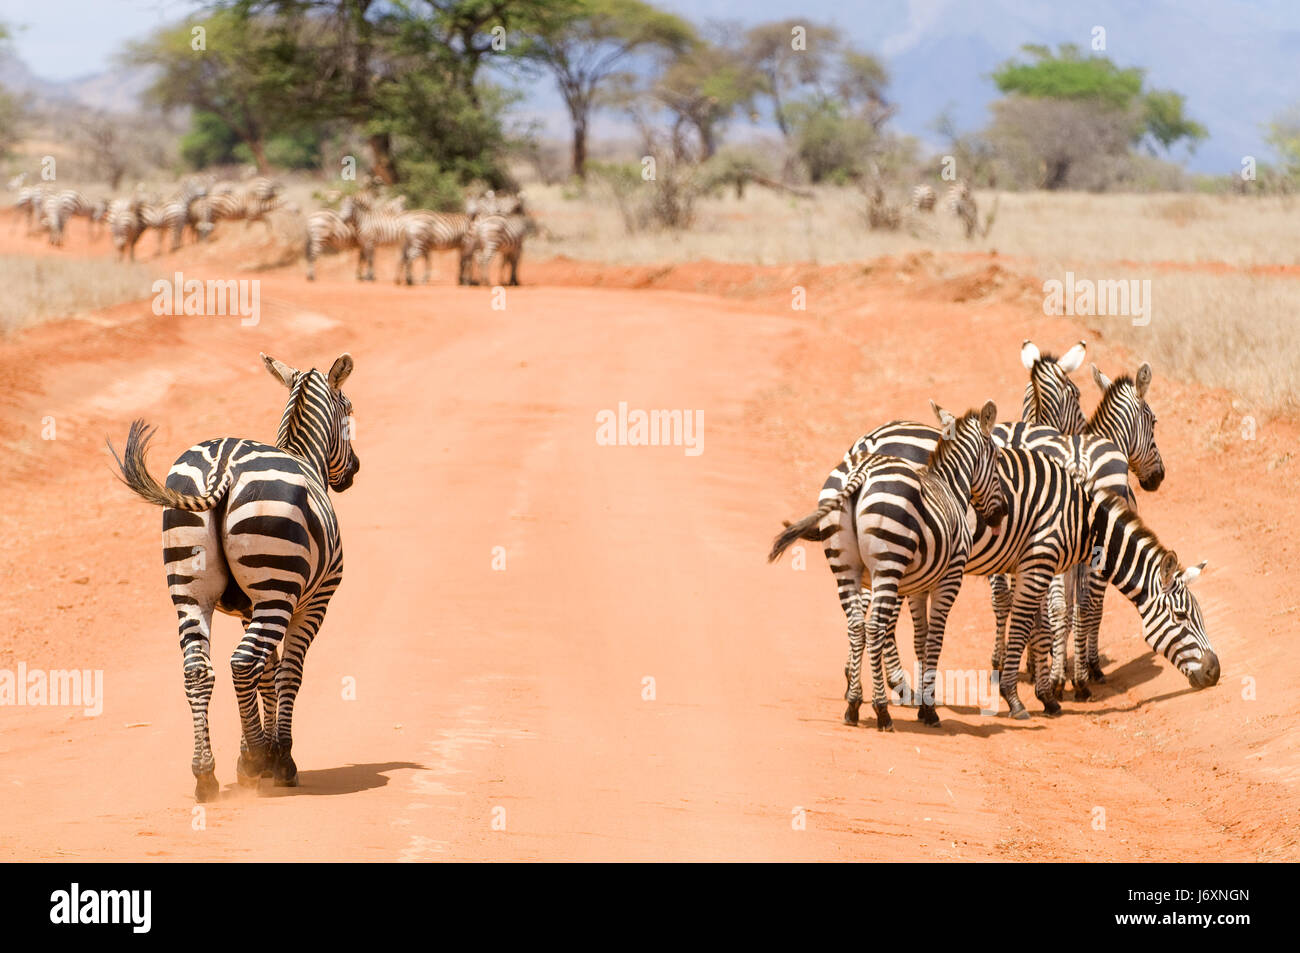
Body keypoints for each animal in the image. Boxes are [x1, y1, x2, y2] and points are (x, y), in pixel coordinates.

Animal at [106, 353, 358, 800]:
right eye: (349, 410)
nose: (354, 471)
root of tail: (221, 464)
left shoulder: (248, 608)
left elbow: (267, 675)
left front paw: (253, 753)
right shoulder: (312, 602)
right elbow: (286, 674)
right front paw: (276, 758)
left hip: (190, 592)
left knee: (199, 670)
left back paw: (206, 772)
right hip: (276, 592)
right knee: (242, 662)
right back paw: (261, 758)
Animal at [764, 397, 1008, 722]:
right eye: (997, 459)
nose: (1001, 514)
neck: (948, 486)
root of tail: (862, 470)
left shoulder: (919, 585)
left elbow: (921, 637)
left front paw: (922, 700)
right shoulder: (950, 576)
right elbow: (935, 637)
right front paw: (928, 708)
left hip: (848, 566)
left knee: (857, 624)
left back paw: (854, 703)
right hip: (887, 566)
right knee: (875, 626)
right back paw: (882, 709)